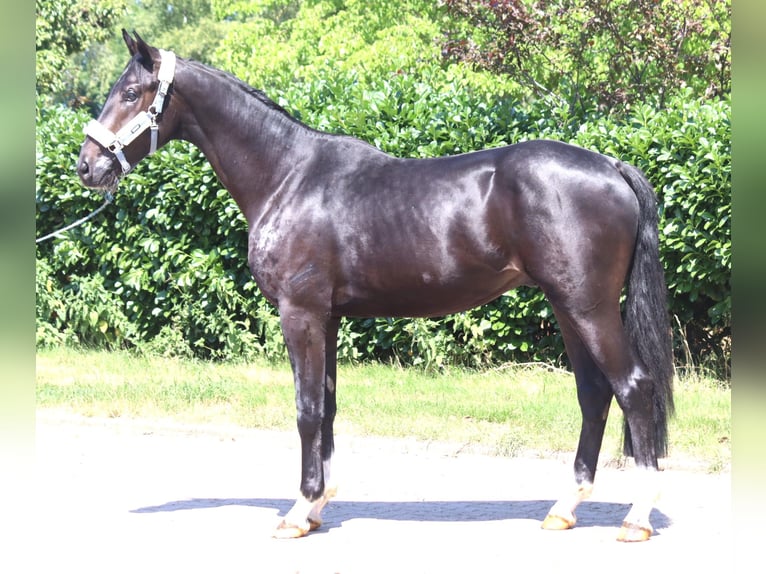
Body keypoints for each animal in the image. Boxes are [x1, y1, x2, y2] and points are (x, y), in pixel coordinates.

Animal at [77, 31, 674, 542]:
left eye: (130, 93)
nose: (87, 166)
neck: (288, 176)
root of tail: (611, 166)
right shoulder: (328, 317)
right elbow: (327, 405)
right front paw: (318, 505)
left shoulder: (300, 313)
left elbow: (306, 409)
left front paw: (296, 511)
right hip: (568, 307)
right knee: (594, 395)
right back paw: (564, 509)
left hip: (589, 308)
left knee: (634, 388)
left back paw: (636, 518)